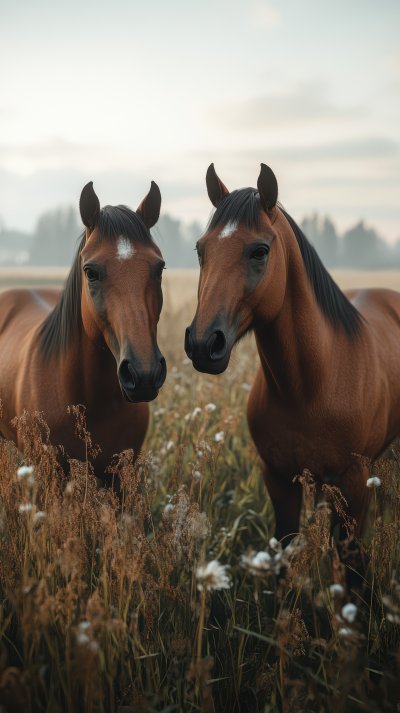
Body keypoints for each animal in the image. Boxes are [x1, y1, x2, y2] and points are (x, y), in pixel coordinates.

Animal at [185, 162, 400, 570]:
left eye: (259, 251)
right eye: (200, 250)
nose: (203, 344)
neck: (311, 386)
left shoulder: (354, 484)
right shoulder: (280, 481)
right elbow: (282, 554)